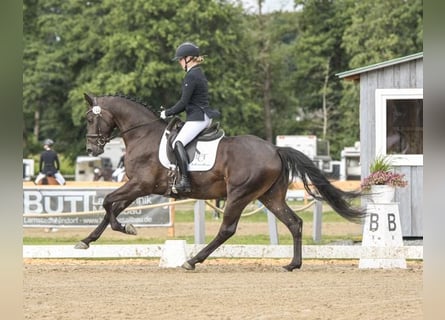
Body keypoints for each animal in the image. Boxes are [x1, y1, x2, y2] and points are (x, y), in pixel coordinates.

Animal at [76, 92, 366, 270]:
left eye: (90, 118)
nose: (91, 150)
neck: (142, 134)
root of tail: (274, 149)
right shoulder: (137, 187)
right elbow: (111, 208)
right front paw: (87, 240)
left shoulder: (140, 184)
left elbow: (108, 203)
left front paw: (126, 228)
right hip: (269, 196)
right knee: (294, 223)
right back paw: (293, 264)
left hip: (239, 195)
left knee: (227, 229)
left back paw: (193, 260)